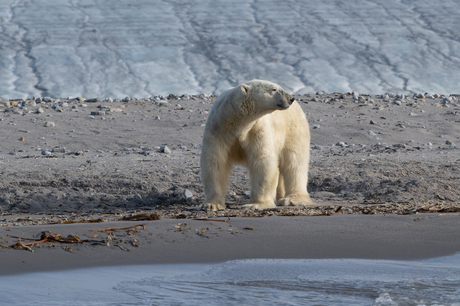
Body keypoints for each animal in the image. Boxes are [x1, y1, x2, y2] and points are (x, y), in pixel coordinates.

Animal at [200, 80, 312, 212]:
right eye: (274, 89)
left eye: (280, 88)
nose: (291, 98)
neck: (235, 121)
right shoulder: (218, 129)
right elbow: (215, 163)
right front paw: (211, 204)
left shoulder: (256, 129)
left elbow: (262, 162)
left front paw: (256, 204)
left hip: (293, 130)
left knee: (295, 162)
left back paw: (291, 199)